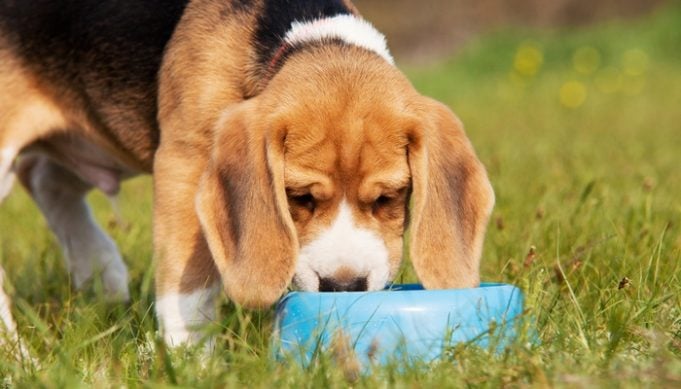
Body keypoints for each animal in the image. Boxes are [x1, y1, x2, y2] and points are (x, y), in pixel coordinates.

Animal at [0, 0, 492, 346]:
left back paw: (101, 273)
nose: (343, 286)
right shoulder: (185, 163)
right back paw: (21, 354)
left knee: (44, 177)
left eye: (389, 197)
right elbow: (189, 287)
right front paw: (191, 360)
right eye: (299, 197)